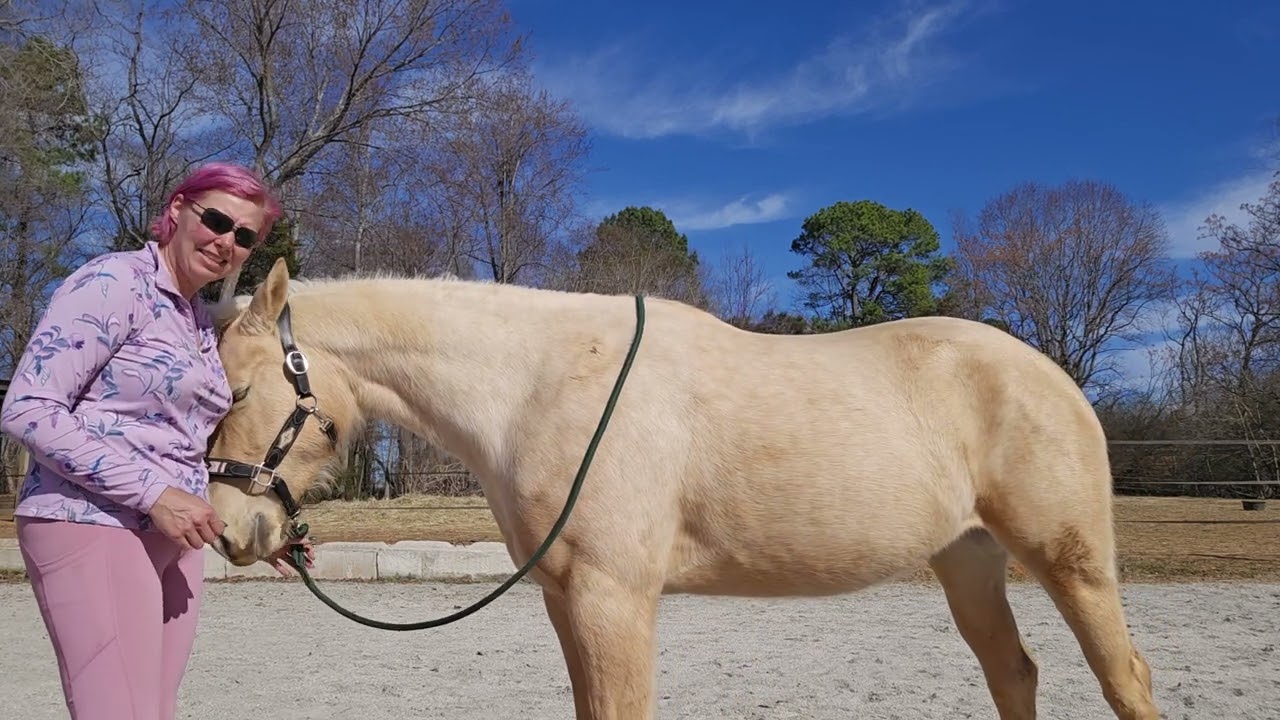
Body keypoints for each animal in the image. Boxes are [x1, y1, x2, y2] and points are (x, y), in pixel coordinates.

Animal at [204, 258, 1160, 720]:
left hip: (1070, 563)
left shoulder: (613, 598)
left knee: (1125, 680)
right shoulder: (567, 598)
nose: (230, 530)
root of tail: (1055, 376)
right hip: (968, 562)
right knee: (1014, 675)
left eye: (238, 391)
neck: (538, 384)